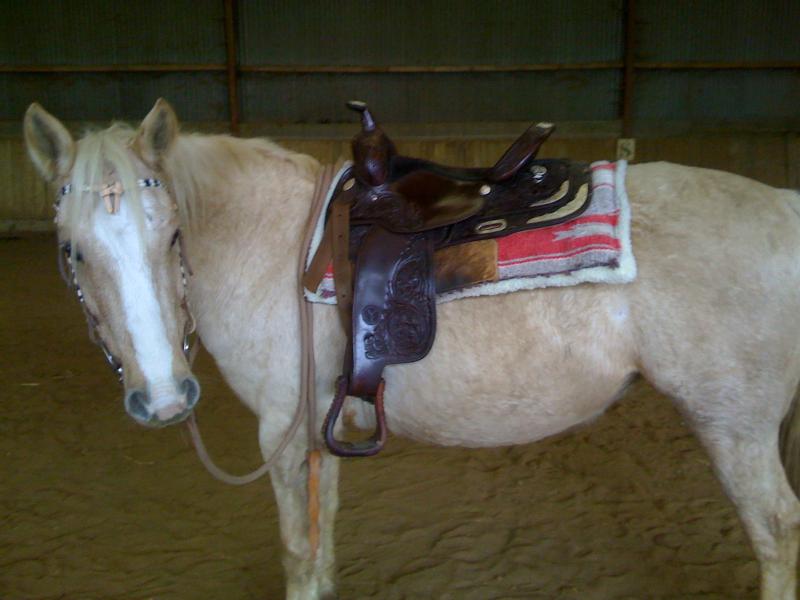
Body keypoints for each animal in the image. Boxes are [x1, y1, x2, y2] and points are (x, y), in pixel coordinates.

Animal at [23, 98, 800, 600]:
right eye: (71, 250)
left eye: (173, 236)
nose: (164, 397)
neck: (275, 242)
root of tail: (786, 206)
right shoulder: (317, 431)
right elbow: (322, 544)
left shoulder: (281, 431)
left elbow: (298, 553)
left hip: (733, 426)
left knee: (777, 531)